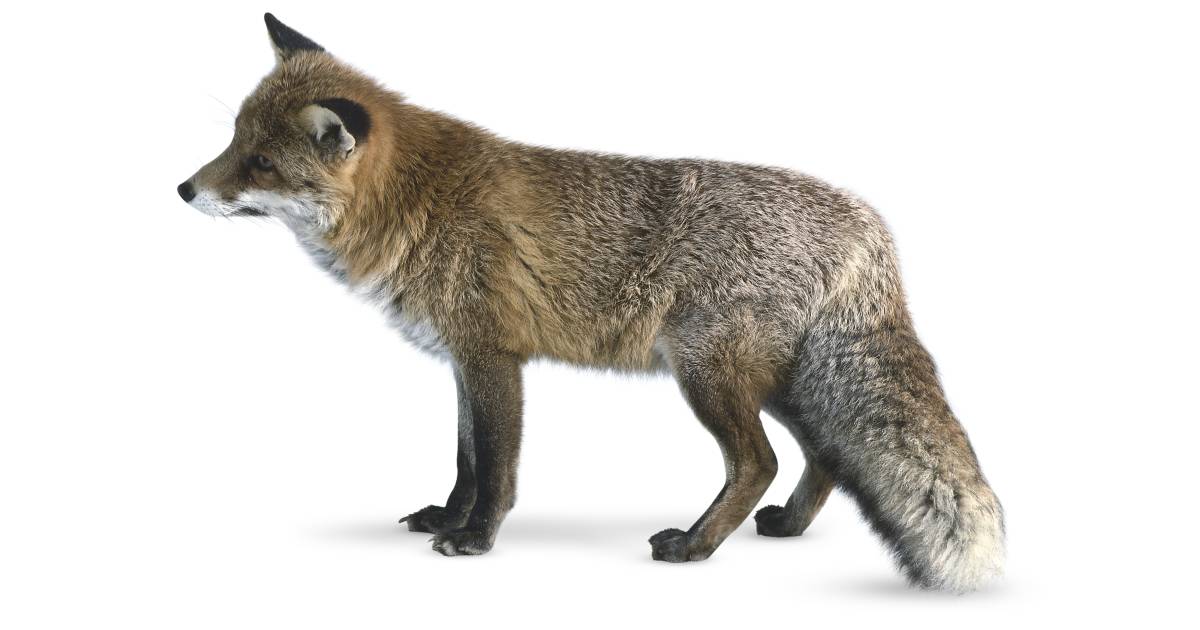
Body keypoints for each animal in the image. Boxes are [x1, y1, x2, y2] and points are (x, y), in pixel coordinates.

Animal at [178, 13, 1005, 591]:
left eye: (260, 162)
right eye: (233, 140)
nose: (184, 189)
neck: (412, 200)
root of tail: (867, 221)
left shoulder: (492, 357)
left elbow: (497, 468)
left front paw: (475, 540)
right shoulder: (461, 361)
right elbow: (465, 459)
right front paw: (448, 516)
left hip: (709, 376)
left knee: (759, 462)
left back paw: (696, 546)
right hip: (777, 379)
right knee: (824, 455)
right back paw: (788, 527)